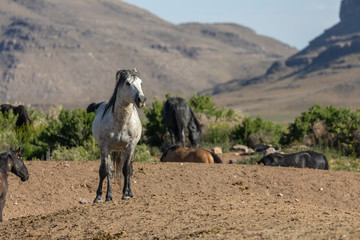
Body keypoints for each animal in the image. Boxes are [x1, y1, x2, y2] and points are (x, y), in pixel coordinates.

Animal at [91, 69, 146, 202]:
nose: (141, 99)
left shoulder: (130, 146)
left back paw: (129, 192)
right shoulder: (105, 147)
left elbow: (126, 169)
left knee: (129, 168)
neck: (121, 122)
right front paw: (99, 197)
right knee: (109, 171)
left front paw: (126, 194)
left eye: (141, 83)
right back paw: (108, 196)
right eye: (127, 83)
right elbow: (105, 171)